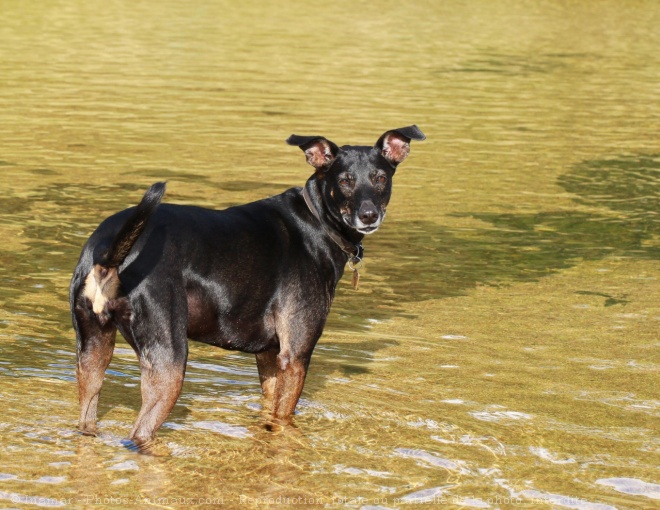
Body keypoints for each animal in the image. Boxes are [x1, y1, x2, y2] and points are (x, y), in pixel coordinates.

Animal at [69, 125, 426, 444]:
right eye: (345, 181)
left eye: (381, 178)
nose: (368, 215)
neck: (318, 222)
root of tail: (108, 257)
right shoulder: (296, 355)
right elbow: (283, 419)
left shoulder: (269, 356)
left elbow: (268, 410)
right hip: (168, 361)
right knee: (139, 434)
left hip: (93, 351)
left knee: (87, 418)